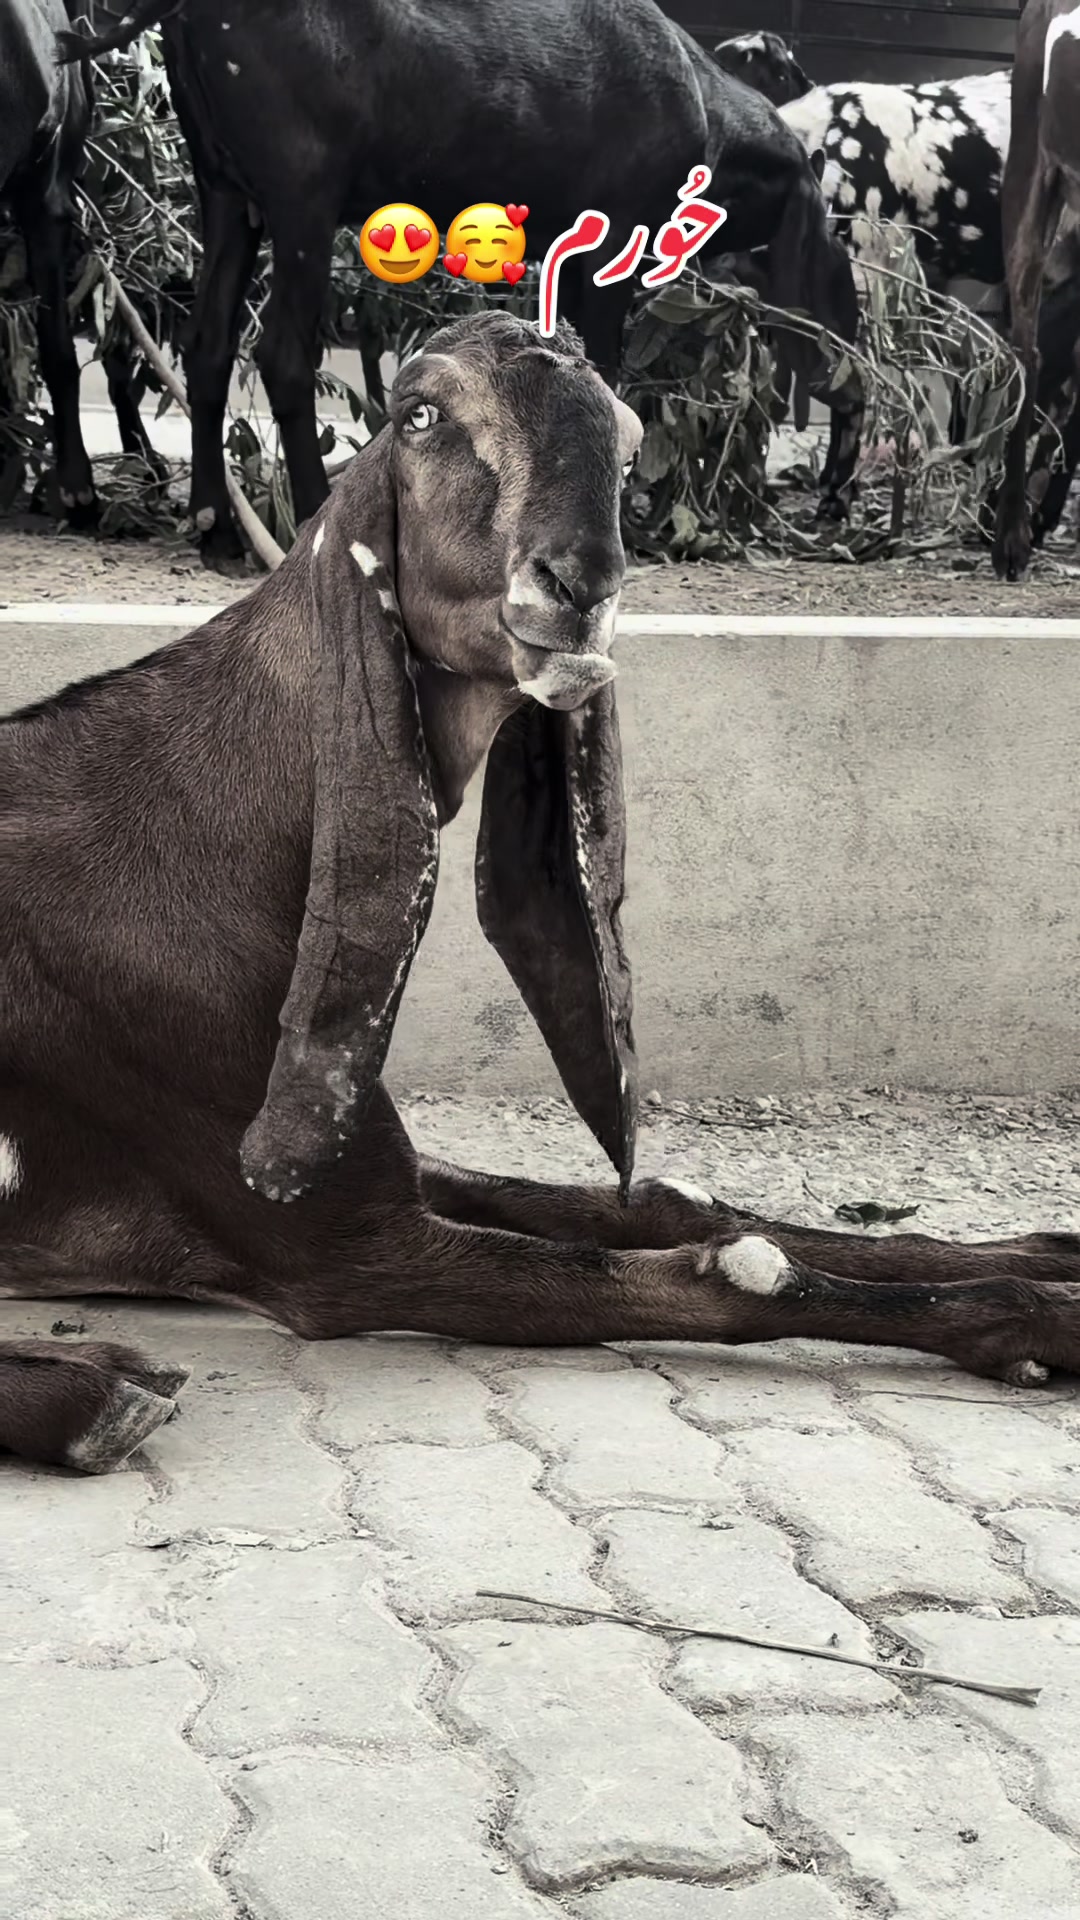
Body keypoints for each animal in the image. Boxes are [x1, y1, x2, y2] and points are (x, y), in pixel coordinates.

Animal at [3, 310, 1078, 1475]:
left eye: (628, 435)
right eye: (419, 413)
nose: (580, 585)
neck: (209, 824)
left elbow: (671, 1206)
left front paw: (1052, 1248)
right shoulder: (339, 1248)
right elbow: (734, 1275)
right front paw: (1044, 1317)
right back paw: (94, 1389)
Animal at [58, 0, 863, 565]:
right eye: (837, 277)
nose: (854, 384)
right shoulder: (610, 248)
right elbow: (604, 378)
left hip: (227, 191)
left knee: (209, 347)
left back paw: (216, 527)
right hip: (302, 198)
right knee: (282, 355)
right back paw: (308, 519)